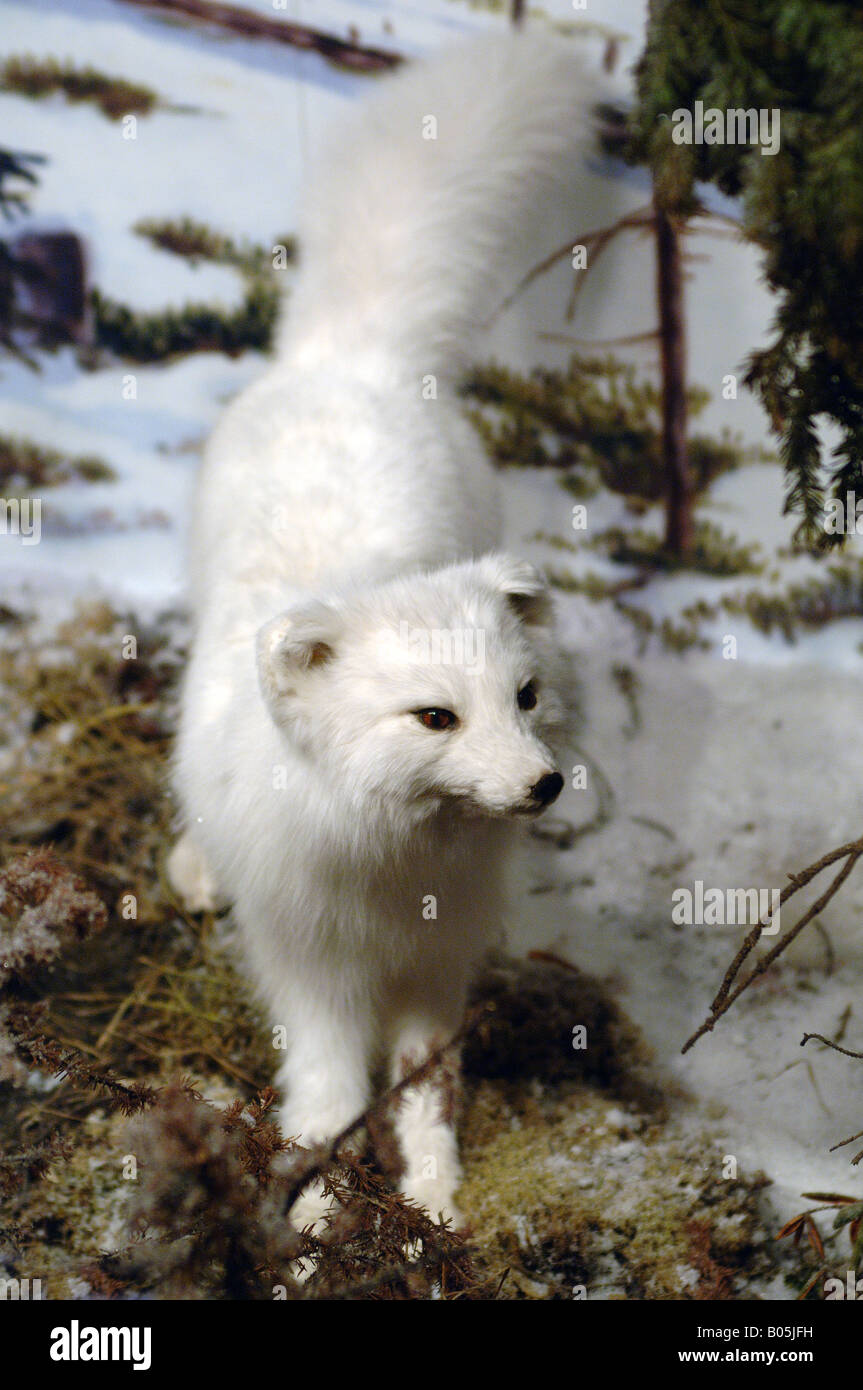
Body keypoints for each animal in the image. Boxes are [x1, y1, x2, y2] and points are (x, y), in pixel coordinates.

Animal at [168, 31, 599, 1233]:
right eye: (433, 717)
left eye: (524, 697)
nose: (544, 783)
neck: (394, 875)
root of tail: (352, 354)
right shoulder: (304, 964)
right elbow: (325, 1085)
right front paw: (317, 1204)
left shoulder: (442, 959)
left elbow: (423, 1085)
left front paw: (436, 1198)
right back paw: (190, 861)